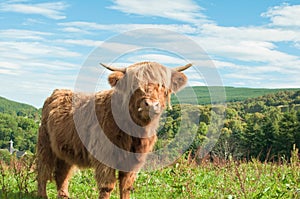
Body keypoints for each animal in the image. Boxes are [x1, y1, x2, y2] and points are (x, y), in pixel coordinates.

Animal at [37, 61, 192, 198]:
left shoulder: (134, 161)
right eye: (135, 85)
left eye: (163, 87)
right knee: (43, 172)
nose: (151, 104)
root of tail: (57, 91)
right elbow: (107, 187)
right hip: (45, 145)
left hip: (65, 150)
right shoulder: (105, 156)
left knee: (62, 173)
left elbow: (126, 186)